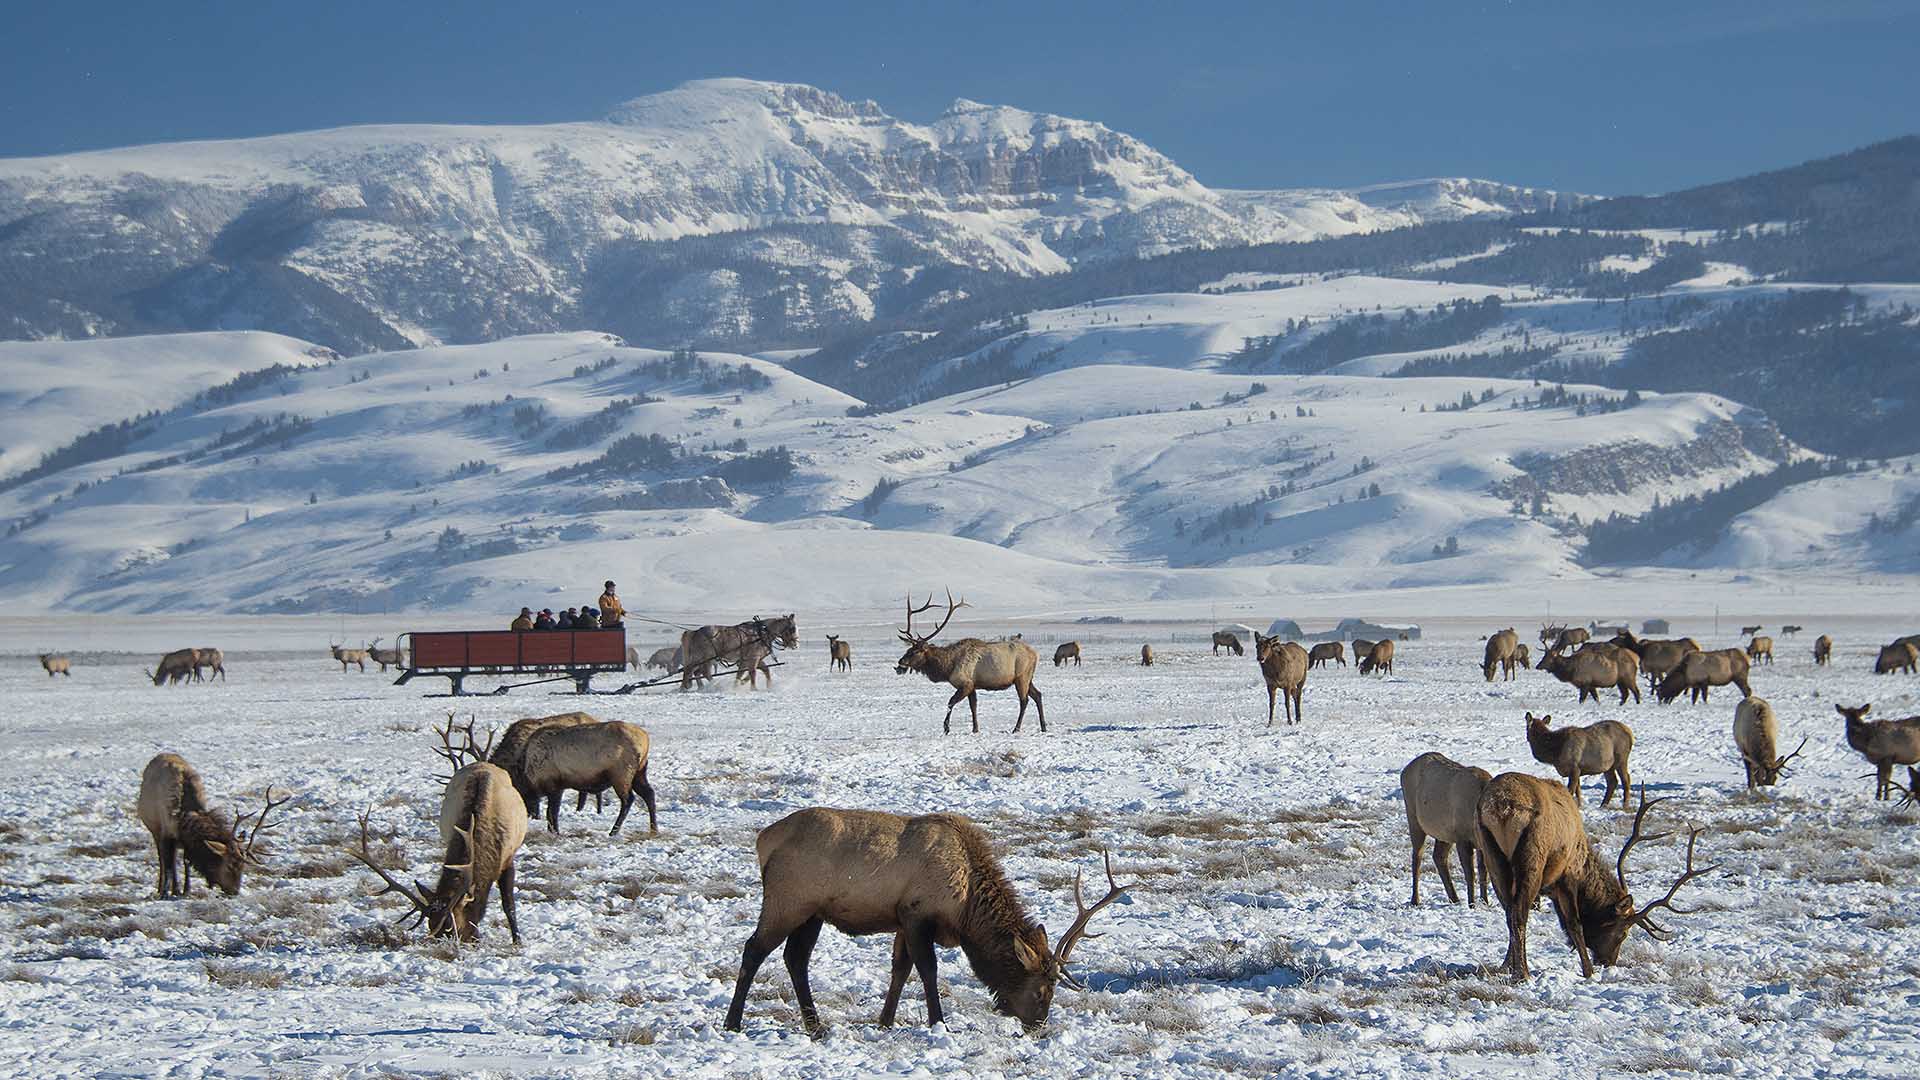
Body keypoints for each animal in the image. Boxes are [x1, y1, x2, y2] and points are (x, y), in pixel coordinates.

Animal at [136, 749, 284, 891]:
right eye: (229, 865)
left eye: (243, 866)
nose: (234, 891)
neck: (183, 817)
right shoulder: (166, 833)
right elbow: (168, 866)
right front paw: (169, 892)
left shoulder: (187, 842)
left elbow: (186, 862)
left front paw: (186, 890)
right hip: (154, 829)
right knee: (162, 860)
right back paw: (161, 888)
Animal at [725, 807, 1128, 1037]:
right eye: (1043, 991)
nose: (1038, 1028)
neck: (966, 907)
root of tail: (763, 840)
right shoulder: (917, 914)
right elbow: (928, 970)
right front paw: (939, 1024)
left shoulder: (902, 921)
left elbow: (900, 970)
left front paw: (885, 1021)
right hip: (788, 900)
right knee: (754, 949)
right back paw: (734, 1023)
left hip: (812, 913)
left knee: (796, 958)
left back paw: (816, 1026)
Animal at [890, 588, 1044, 730]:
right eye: (908, 649)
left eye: (915, 651)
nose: (900, 661)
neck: (948, 667)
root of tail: (1035, 654)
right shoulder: (973, 685)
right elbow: (973, 706)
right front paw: (975, 729)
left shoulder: (966, 683)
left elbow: (951, 702)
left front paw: (946, 727)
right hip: (1028, 677)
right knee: (1038, 695)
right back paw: (1043, 726)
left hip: (1021, 677)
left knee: (1024, 700)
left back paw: (1016, 728)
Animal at [1405, 749, 1489, 907]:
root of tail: (1404, 770)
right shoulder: (1463, 839)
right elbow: (1470, 873)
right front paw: (1472, 904)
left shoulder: (1481, 844)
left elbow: (1483, 871)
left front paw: (1485, 902)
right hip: (1414, 819)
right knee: (1417, 856)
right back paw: (1415, 900)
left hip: (1444, 834)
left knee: (1438, 857)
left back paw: (1454, 898)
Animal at [1474, 768, 1720, 980]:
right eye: (1623, 932)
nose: (1607, 961)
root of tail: (1502, 807)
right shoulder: (1568, 875)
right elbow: (1574, 923)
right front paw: (1588, 971)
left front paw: (1505, 965)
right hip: (1532, 855)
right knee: (1519, 912)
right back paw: (1523, 973)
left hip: (1492, 854)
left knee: (1510, 911)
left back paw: (1513, 968)